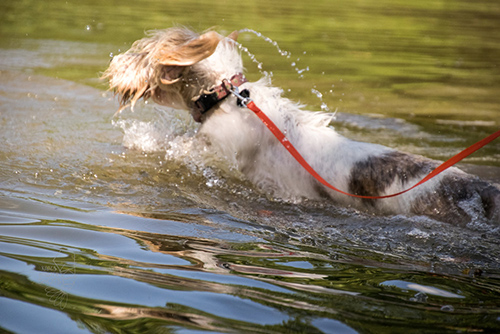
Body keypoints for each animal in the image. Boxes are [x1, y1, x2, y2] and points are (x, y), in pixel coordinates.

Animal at [102, 26, 500, 224]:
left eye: (141, 53)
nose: (114, 65)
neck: (228, 96)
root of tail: (482, 189)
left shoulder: (214, 145)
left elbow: (177, 146)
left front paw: (143, 141)